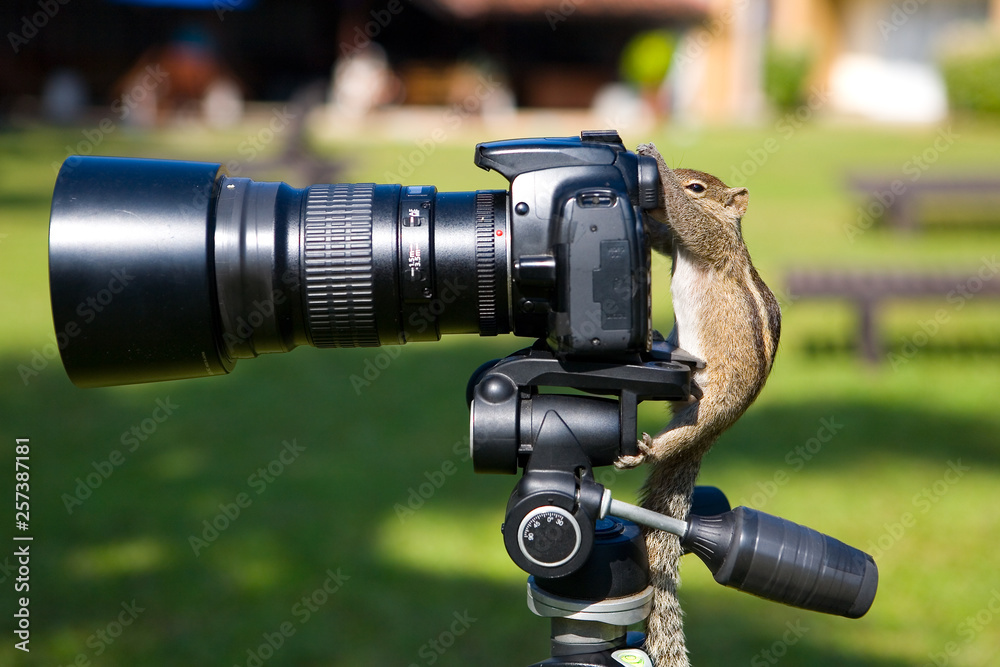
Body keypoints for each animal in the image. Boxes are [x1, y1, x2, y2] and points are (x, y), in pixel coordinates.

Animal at [616, 144, 780, 667]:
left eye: (697, 187)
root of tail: (712, 436)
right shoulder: (679, 243)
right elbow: (666, 236)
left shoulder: (709, 239)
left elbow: (688, 221)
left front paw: (653, 158)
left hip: (708, 410)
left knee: (674, 441)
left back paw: (644, 451)